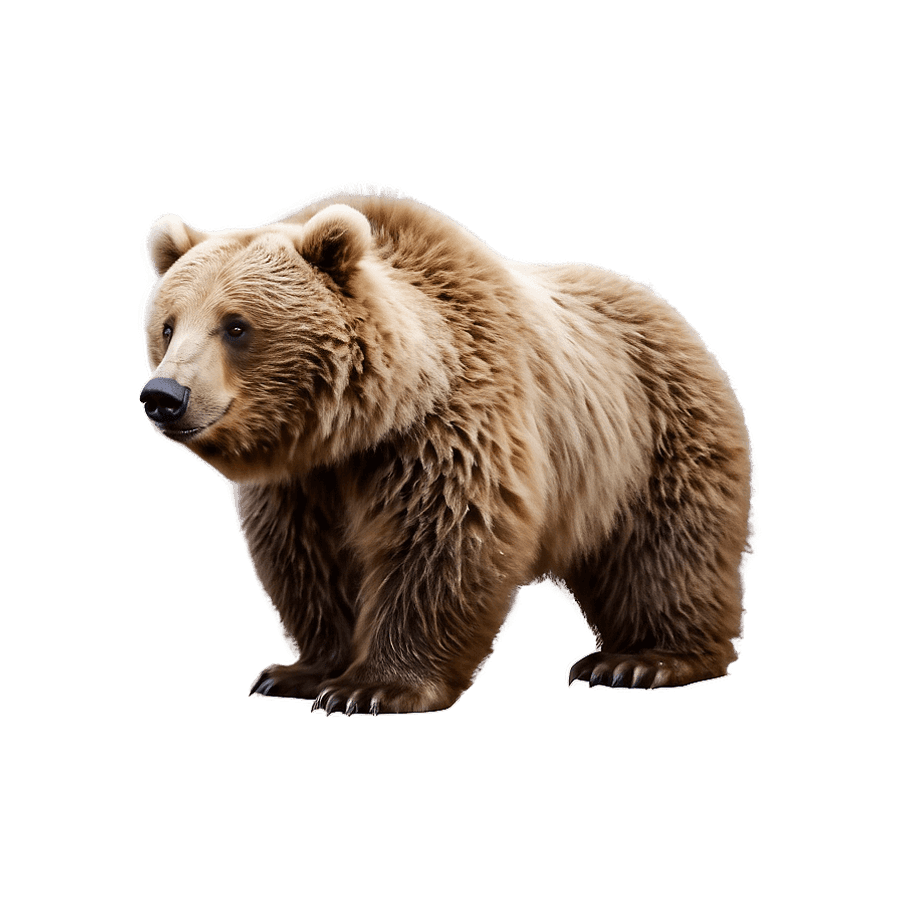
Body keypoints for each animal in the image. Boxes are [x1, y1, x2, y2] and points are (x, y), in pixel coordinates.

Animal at [139, 183, 757, 715]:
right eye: (167, 326)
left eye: (235, 326)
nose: (165, 396)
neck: (359, 423)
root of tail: (669, 310)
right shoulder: (302, 481)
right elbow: (310, 559)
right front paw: (299, 672)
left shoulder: (449, 428)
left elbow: (440, 541)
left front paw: (374, 687)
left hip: (654, 439)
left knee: (667, 551)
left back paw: (643, 659)